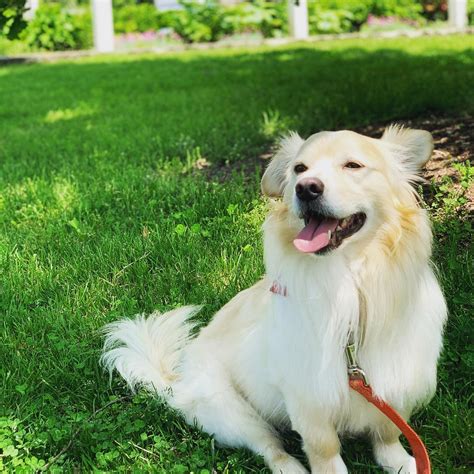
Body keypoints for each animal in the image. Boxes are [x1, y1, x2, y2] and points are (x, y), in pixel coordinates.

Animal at [102, 127, 446, 474]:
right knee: (269, 446)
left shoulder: (396, 380)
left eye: (353, 165)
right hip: (232, 411)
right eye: (299, 169)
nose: (306, 188)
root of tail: (179, 381)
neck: (348, 282)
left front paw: (402, 463)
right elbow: (325, 450)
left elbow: (389, 433)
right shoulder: (308, 396)